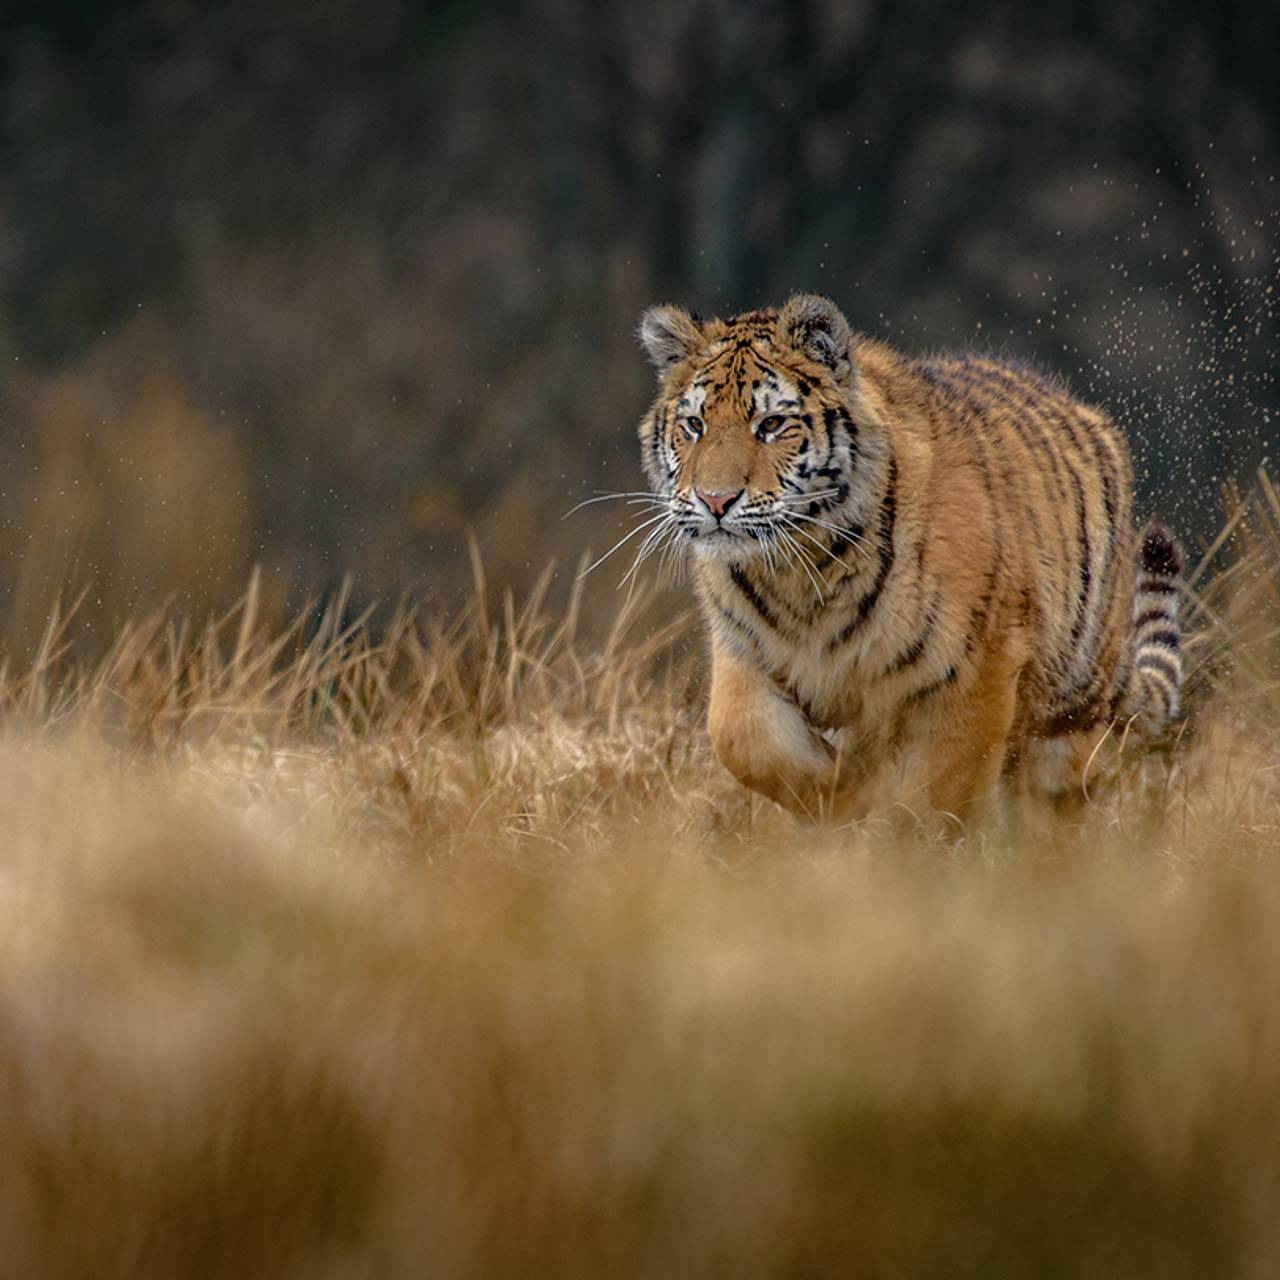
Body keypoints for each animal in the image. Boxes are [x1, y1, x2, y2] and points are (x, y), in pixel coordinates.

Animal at [633, 293, 1184, 823]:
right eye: (695, 424)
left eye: (771, 424)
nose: (715, 501)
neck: (799, 571)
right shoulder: (742, 651)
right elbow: (741, 737)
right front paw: (842, 798)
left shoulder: (975, 672)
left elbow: (932, 801)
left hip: (1067, 712)